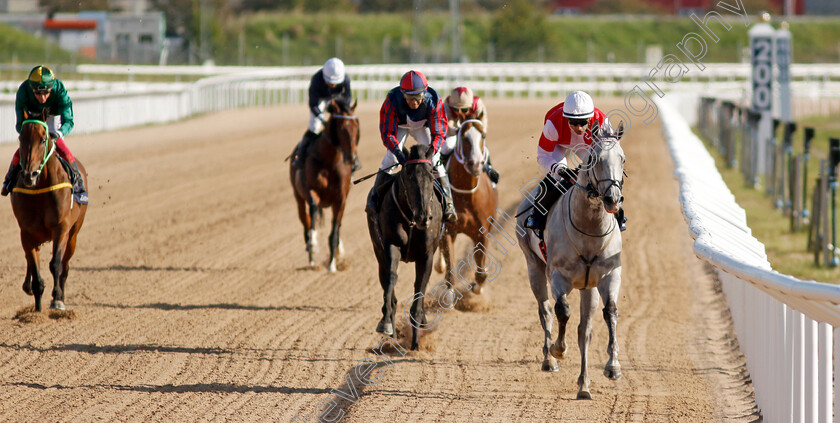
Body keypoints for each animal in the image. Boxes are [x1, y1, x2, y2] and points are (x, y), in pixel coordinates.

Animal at [11, 114, 88, 314]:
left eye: (43, 139)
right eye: (21, 138)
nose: (29, 175)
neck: (41, 190)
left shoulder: (61, 229)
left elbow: (56, 264)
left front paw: (57, 299)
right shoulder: (26, 233)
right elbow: (35, 271)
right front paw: (37, 310)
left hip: (73, 234)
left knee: (65, 266)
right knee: (30, 260)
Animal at [290, 100, 360, 274]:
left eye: (356, 127)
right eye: (342, 128)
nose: (352, 158)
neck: (330, 160)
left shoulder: (341, 199)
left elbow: (334, 232)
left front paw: (332, 264)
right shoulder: (312, 191)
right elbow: (313, 213)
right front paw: (313, 244)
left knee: (337, 226)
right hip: (298, 198)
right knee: (306, 223)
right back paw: (312, 260)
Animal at [370, 145, 446, 352]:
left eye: (431, 175)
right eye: (409, 176)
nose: (424, 216)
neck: (411, 220)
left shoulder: (427, 255)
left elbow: (419, 288)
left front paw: (416, 344)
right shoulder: (391, 245)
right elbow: (391, 278)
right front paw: (386, 323)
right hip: (378, 252)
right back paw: (392, 337)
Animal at [436, 117, 496, 294]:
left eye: (483, 135)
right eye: (463, 136)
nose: (475, 164)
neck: (466, 195)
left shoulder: (482, 232)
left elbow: (481, 272)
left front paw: (476, 286)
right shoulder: (448, 231)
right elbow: (450, 270)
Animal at [516, 126, 628, 400]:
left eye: (622, 159)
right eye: (595, 159)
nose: (613, 198)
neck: (589, 228)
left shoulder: (608, 276)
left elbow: (610, 313)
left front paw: (613, 366)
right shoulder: (558, 275)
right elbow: (562, 310)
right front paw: (559, 349)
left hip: (588, 288)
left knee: (584, 330)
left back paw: (584, 385)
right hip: (533, 266)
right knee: (545, 310)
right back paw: (549, 359)